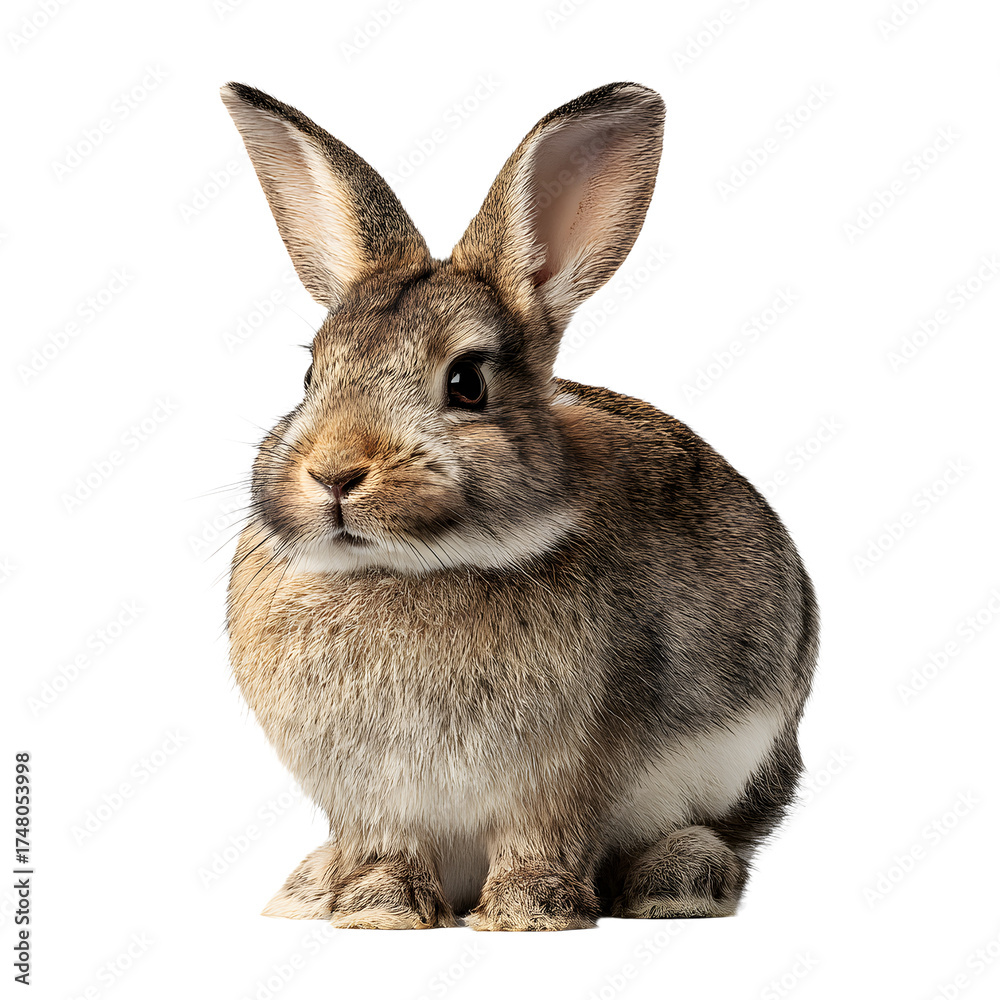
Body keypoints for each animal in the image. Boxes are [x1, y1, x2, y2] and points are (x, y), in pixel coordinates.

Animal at [221, 79, 818, 931]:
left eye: (467, 382)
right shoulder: (369, 798)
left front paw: (529, 915)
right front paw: (377, 910)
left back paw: (675, 880)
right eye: (310, 377)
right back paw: (305, 888)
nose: (335, 473)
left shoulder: (563, 774)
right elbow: (383, 847)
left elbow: (543, 836)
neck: (411, 569)